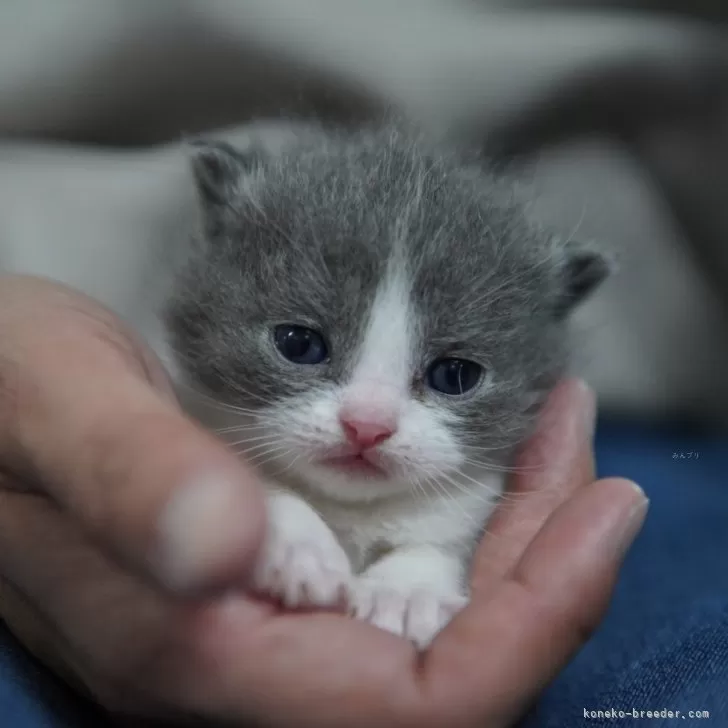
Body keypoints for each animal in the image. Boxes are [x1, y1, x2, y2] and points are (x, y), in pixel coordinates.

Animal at [162, 123, 612, 648]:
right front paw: (300, 548)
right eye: (299, 344)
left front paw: (406, 590)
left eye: (455, 376)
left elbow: (439, 539)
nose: (367, 425)